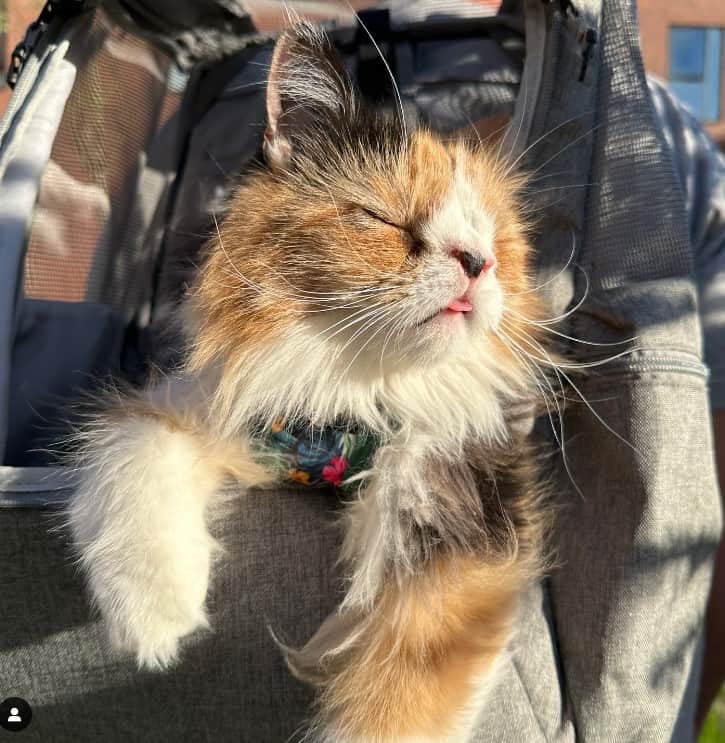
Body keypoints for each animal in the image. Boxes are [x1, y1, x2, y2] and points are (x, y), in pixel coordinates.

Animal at [69, 23, 548, 743]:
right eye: (386, 219)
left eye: (499, 241)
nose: (477, 262)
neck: (350, 394)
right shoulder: (198, 402)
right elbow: (132, 447)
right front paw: (152, 621)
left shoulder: (462, 515)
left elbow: (402, 702)